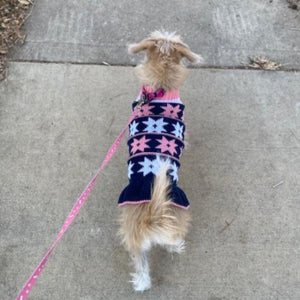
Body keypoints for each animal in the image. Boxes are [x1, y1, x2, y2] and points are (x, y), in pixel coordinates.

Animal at [117, 30, 202, 290]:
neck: (160, 88)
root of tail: (151, 217)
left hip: (136, 242)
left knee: (143, 270)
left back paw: (141, 281)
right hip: (176, 220)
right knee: (171, 240)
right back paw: (178, 245)